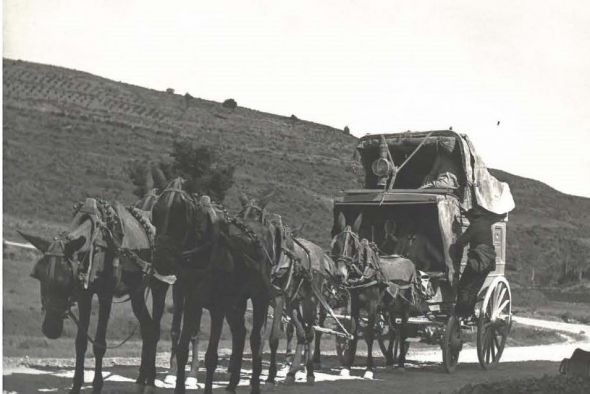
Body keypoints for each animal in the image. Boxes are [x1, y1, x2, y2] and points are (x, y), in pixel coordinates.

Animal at [20, 199, 168, 392]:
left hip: (159, 287)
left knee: (155, 329)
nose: (50, 329)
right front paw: (76, 384)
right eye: (38, 276)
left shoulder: (105, 296)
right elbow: (80, 342)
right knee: (147, 328)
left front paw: (97, 385)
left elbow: (99, 344)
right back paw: (142, 377)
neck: (96, 246)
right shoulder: (85, 295)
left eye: (66, 280)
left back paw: (151, 379)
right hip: (137, 292)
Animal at [332, 211, 416, 378]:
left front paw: (369, 369)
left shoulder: (371, 306)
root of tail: (409, 261)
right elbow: (353, 333)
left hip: (405, 307)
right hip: (390, 308)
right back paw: (390, 361)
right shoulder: (355, 305)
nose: (340, 275)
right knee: (393, 332)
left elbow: (370, 335)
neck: (363, 272)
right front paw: (347, 367)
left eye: (353, 245)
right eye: (336, 243)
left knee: (403, 332)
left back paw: (401, 364)